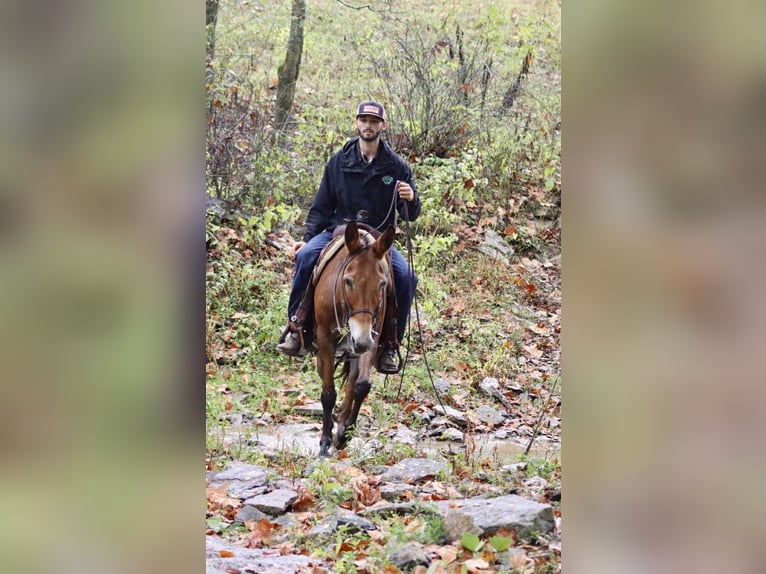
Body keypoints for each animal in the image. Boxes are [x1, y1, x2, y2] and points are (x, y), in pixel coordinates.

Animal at [313, 220, 395, 457]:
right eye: (348, 281)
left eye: (382, 284)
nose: (362, 341)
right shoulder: (324, 336)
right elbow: (328, 392)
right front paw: (325, 442)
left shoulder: (373, 335)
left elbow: (361, 385)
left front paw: (344, 433)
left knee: (351, 379)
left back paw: (340, 421)